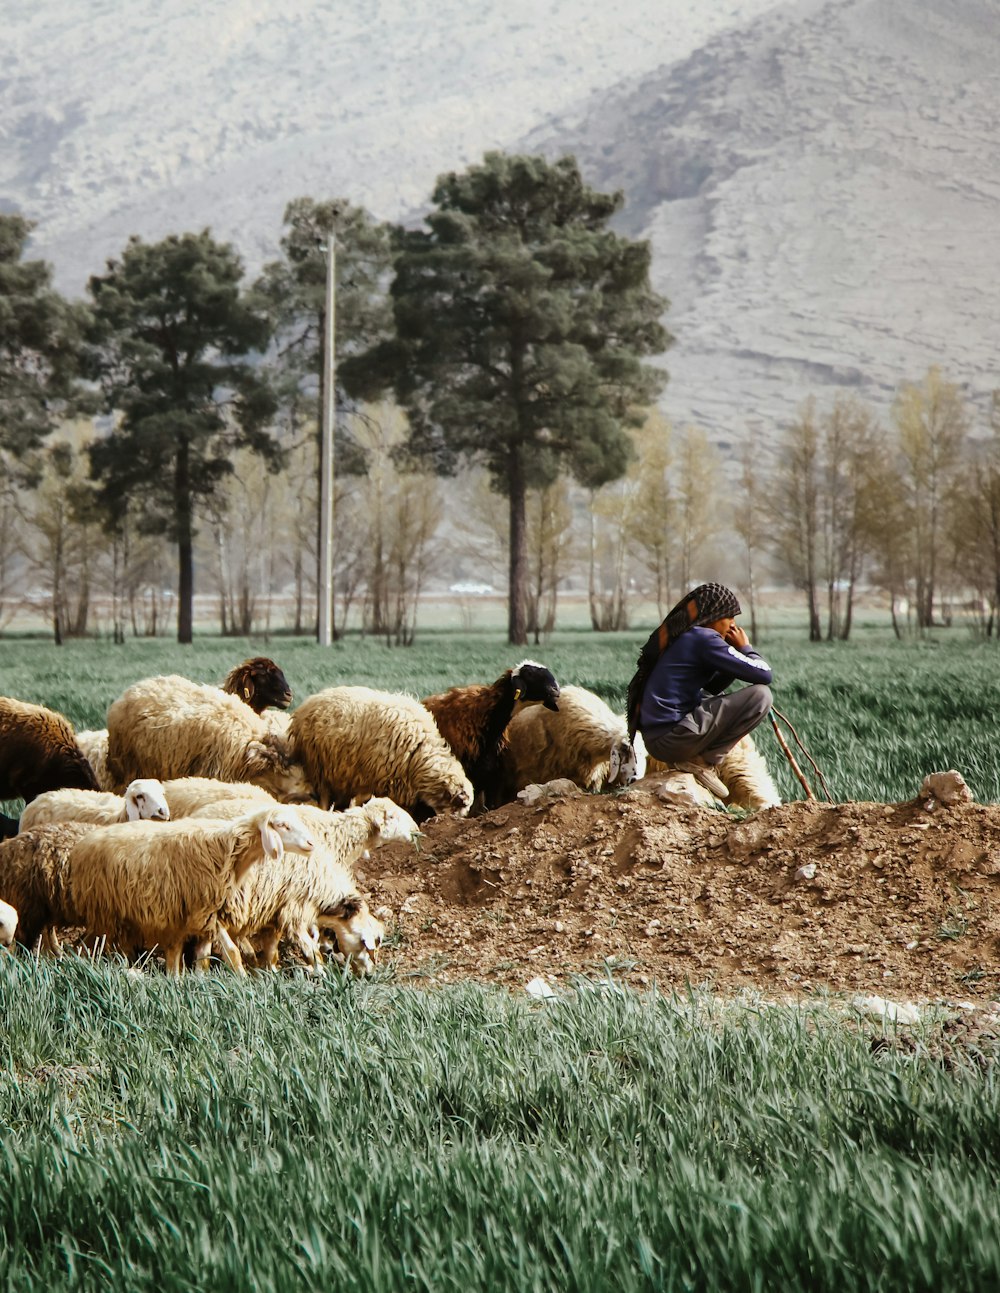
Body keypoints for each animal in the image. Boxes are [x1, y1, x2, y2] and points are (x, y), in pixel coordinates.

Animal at [65, 801, 314, 972]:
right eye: (282, 825)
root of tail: (82, 845)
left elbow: (202, 959)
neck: (226, 852)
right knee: (97, 945)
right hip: (105, 911)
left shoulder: (206, 916)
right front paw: (244, 983)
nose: (311, 843)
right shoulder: (205, 911)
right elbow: (232, 953)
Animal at [284, 687, 470, 817]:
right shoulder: (388, 783)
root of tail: (309, 702)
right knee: (324, 798)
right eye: (459, 806)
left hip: (341, 773)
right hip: (318, 766)